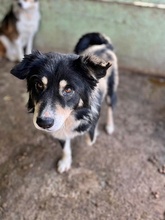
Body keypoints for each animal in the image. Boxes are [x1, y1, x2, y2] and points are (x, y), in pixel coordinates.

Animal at [10, 32, 118, 174]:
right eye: (39, 84)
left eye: (68, 89)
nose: (44, 123)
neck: (72, 116)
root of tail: (104, 45)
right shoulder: (58, 131)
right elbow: (65, 147)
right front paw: (65, 162)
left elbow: (90, 137)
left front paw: (93, 133)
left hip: (111, 90)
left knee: (111, 107)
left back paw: (110, 126)